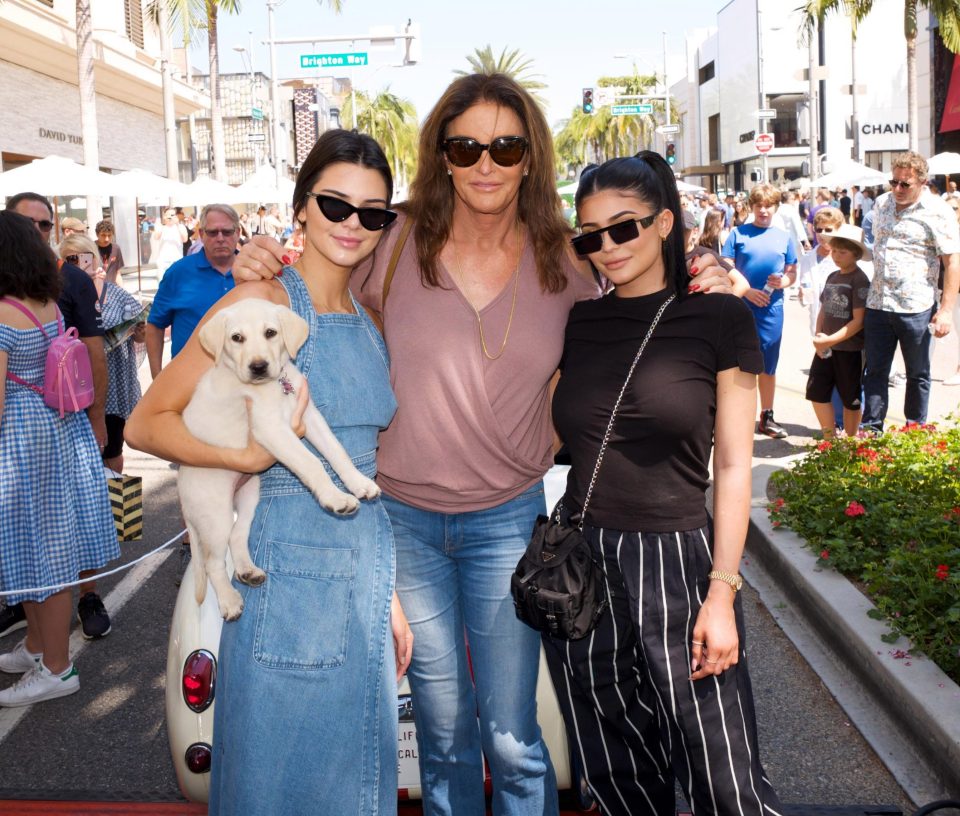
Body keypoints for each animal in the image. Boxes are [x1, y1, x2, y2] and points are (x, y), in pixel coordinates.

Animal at [178, 298, 380, 620]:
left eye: (270, 333)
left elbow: (336, 451)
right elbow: (312, 463)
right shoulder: (272, 429)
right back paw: (229, 601)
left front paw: (359, 483)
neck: (274, 387)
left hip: (249, 493)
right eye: (237, 338)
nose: (258, 367)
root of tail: (181, 488)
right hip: (214, 513)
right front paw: (336, 499)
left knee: (237, 535)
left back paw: (248, 572)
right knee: (212, 562)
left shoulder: (309, 417)